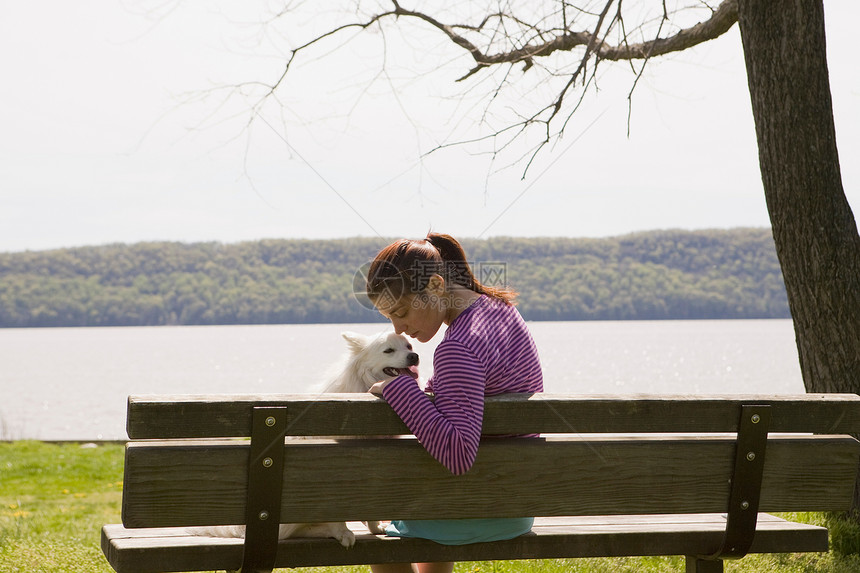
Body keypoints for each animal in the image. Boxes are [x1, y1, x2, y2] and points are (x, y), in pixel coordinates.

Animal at [189, 332, 420, 548]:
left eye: (409, 346)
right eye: (389, 350)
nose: (414, 356)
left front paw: (374, 526)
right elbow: (337, 514)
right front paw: (343, 531)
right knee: (290, 533)